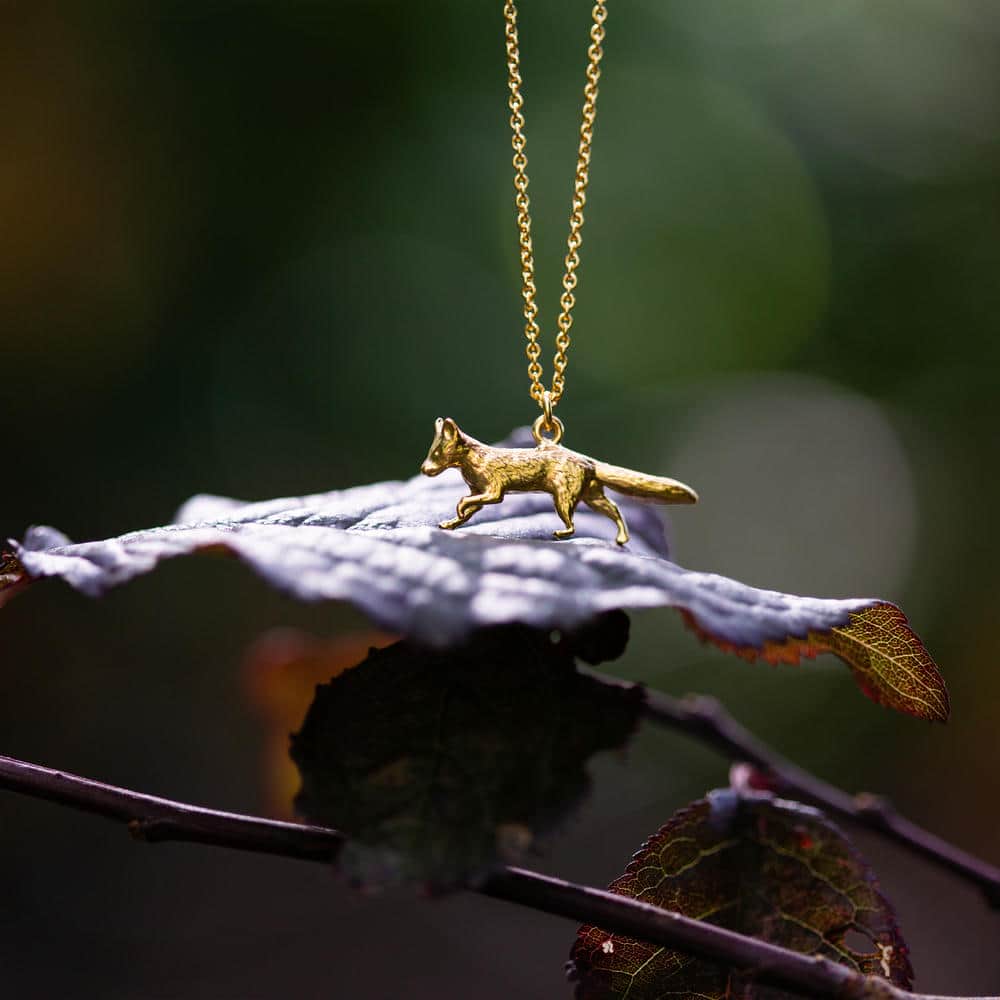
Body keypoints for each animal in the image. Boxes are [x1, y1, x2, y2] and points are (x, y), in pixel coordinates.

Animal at [421, 417, 697, 546]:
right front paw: (450, 523)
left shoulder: (494, 490)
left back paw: (561, 532)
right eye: (430, 451)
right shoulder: (479, 492)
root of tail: (589, 461)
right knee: (615, 509)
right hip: (592, 495)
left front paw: (456, 512)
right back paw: (621, 539)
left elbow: (465, 500)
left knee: (573, 524)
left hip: (563, 496)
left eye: (437, 453)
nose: (423, 469)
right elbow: (468, 508)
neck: (472, 460)